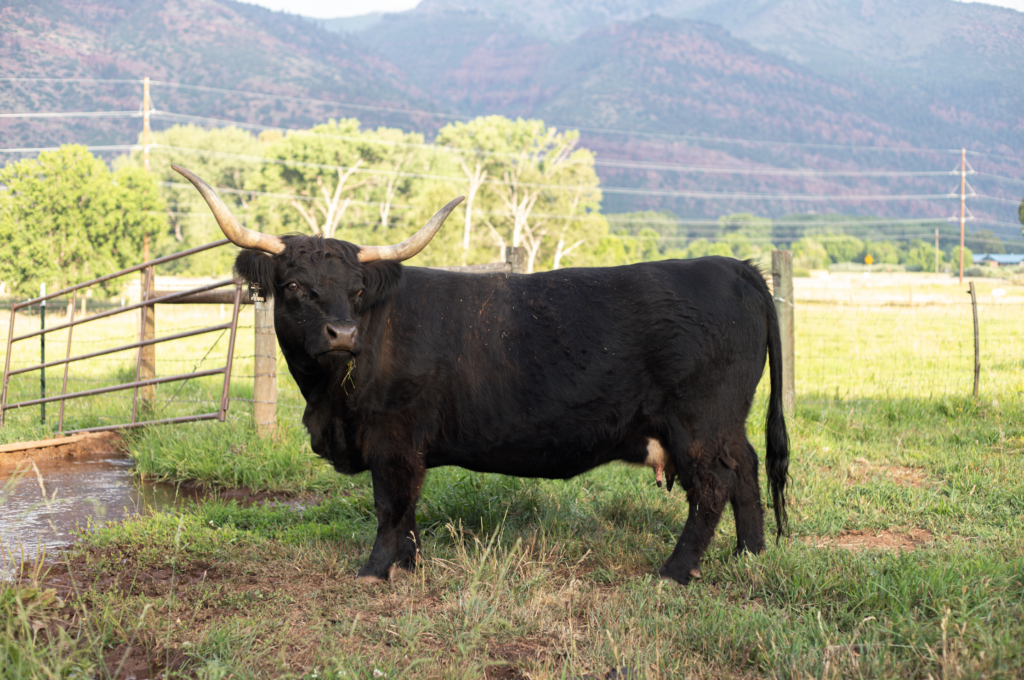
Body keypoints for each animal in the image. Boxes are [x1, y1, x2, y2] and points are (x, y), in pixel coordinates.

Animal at [174, 165, 789, 585]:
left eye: (356, 291)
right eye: (296, 287)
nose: (342, 335)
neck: (329, 399)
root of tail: (736, 266)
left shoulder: (394, 439)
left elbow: (390, 505)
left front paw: (374, 571)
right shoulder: (402, 445)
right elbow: (408, 510)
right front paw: (407, 565)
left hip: (699, 423)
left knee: (713, 484)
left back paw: (674, 572)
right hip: (724, 423)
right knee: (747, 470)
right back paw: (750, 555)